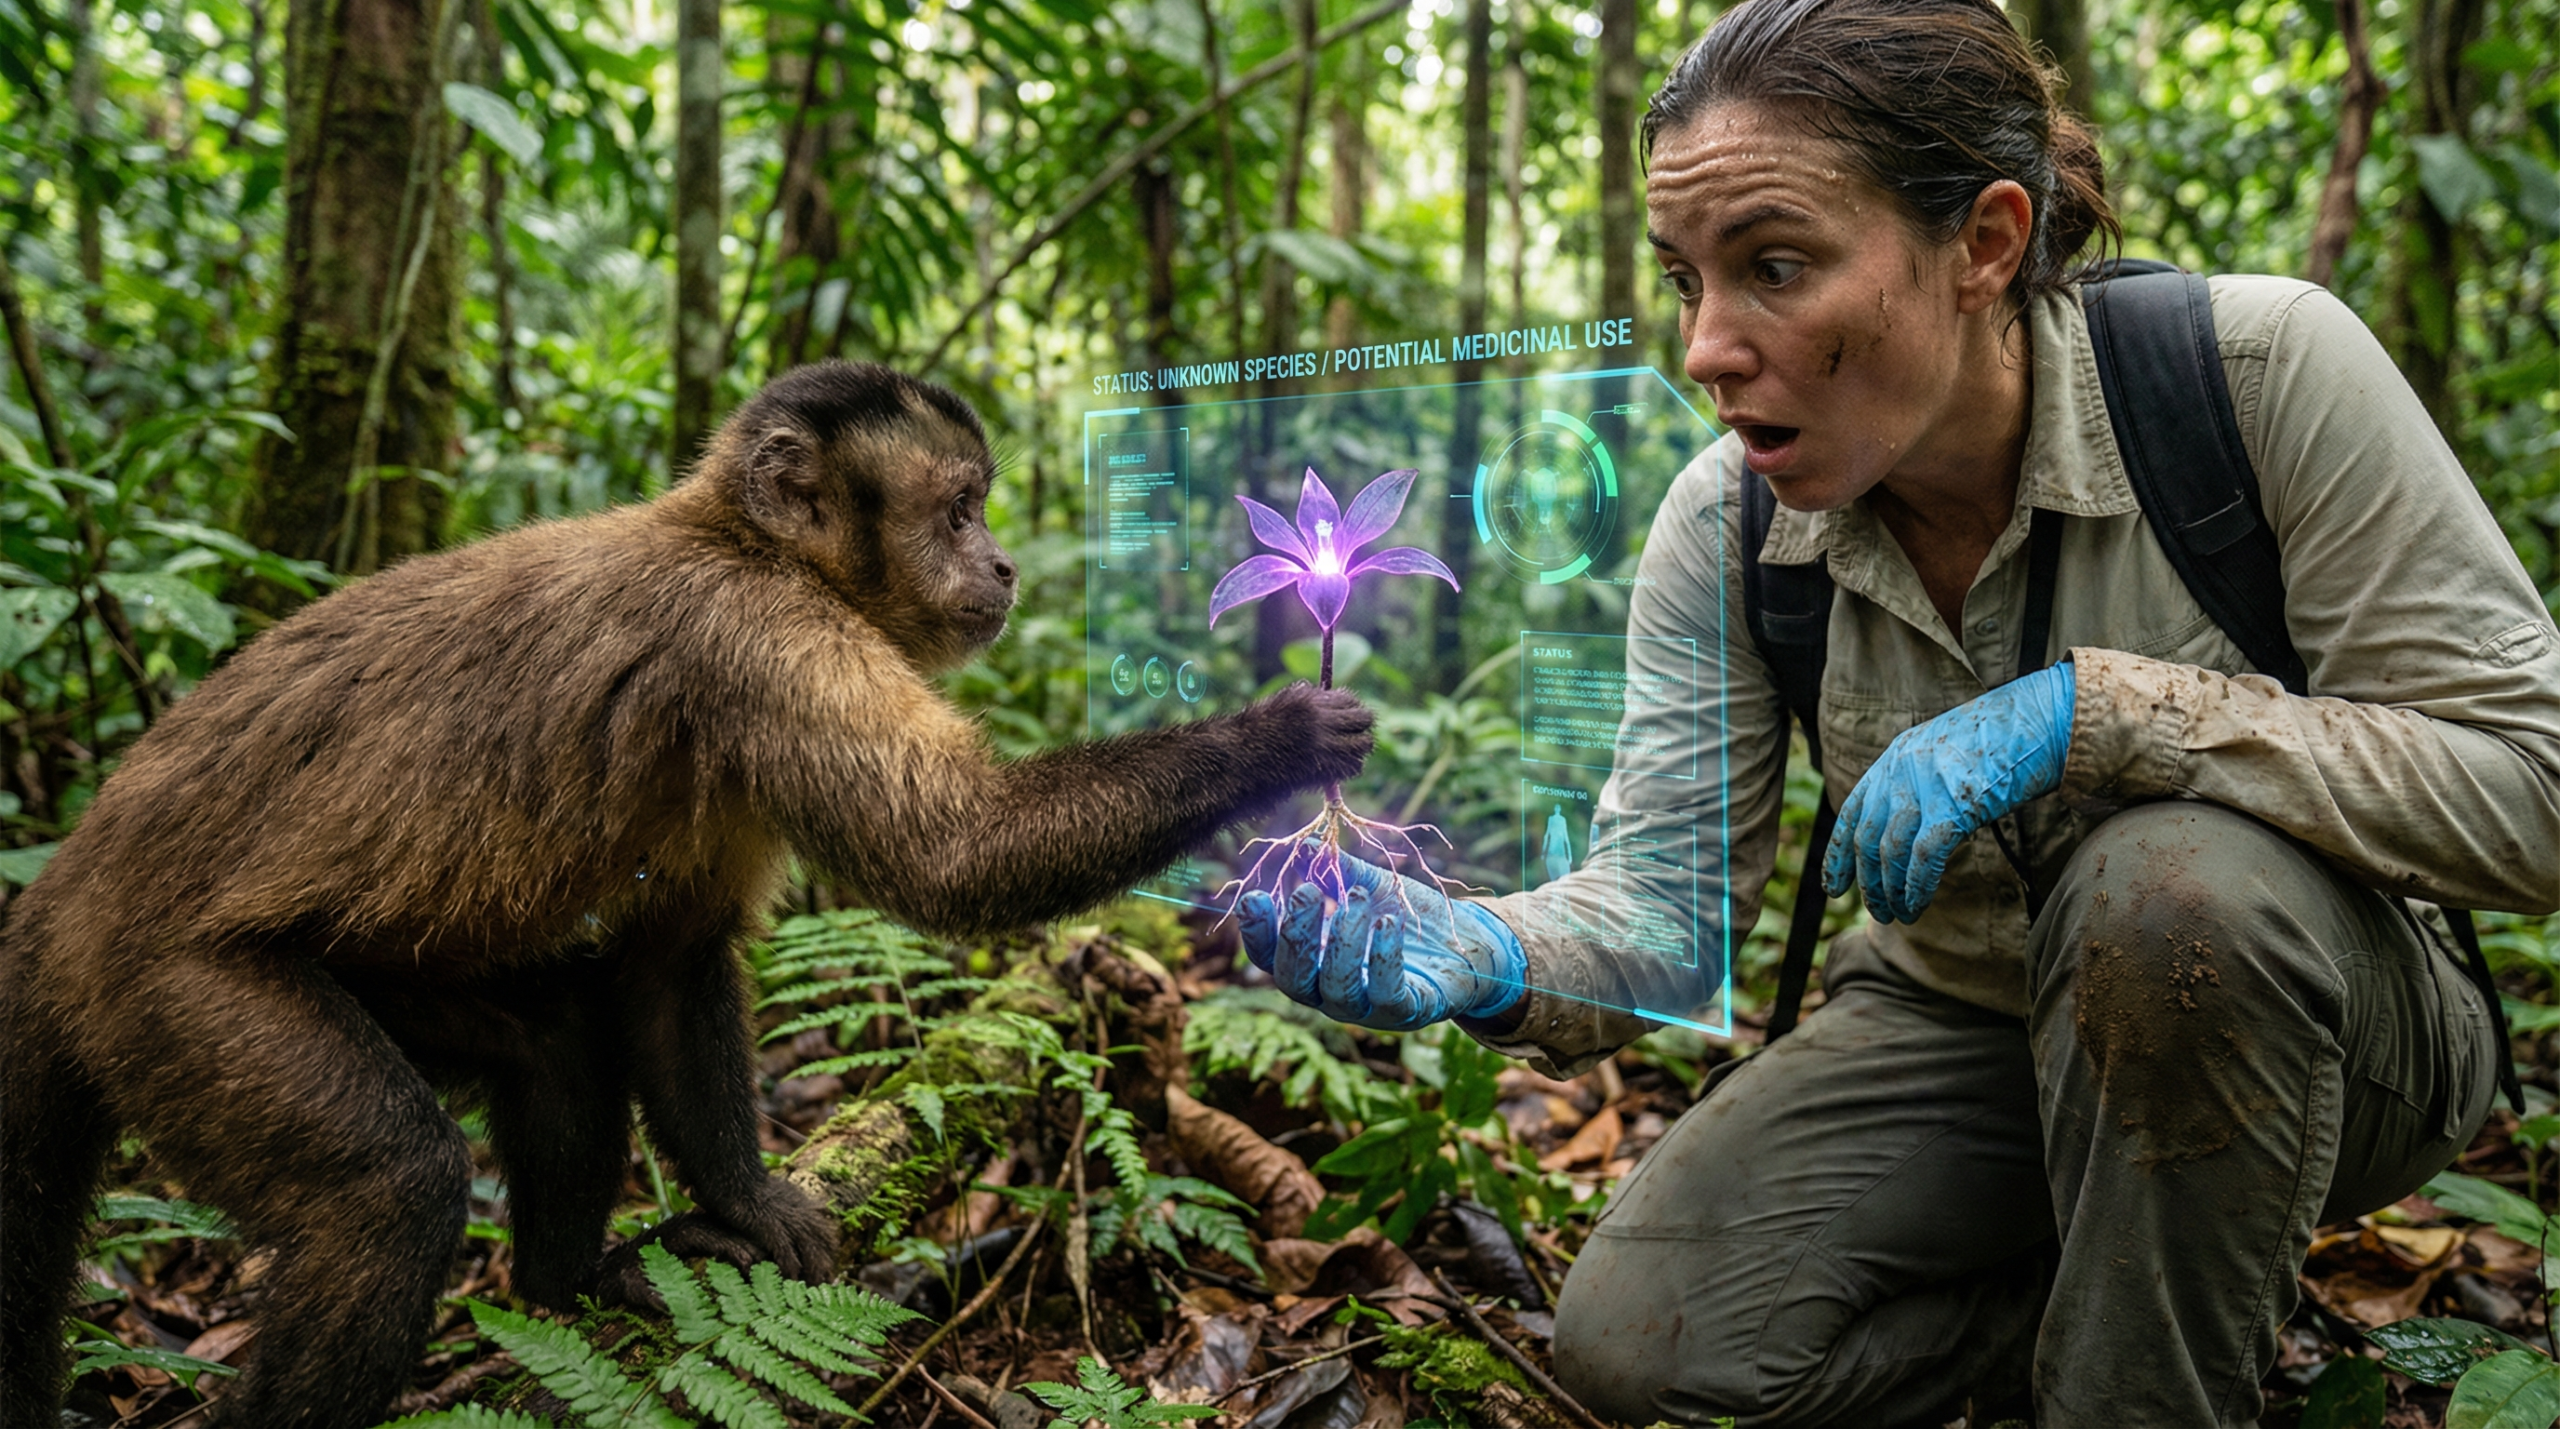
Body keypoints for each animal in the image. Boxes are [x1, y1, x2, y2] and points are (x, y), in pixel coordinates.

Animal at [0, 361, 1373, 1428]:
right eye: (959, 509)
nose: (1002, 562)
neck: (738, 539)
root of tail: (60, 888)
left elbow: (668, 964)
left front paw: (742, 1201)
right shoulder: (764, 640)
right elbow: (955, 853)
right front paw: (1279, 737)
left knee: (553, 1040)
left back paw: (562, 1286)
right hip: (160, 996)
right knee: (388, 1189)